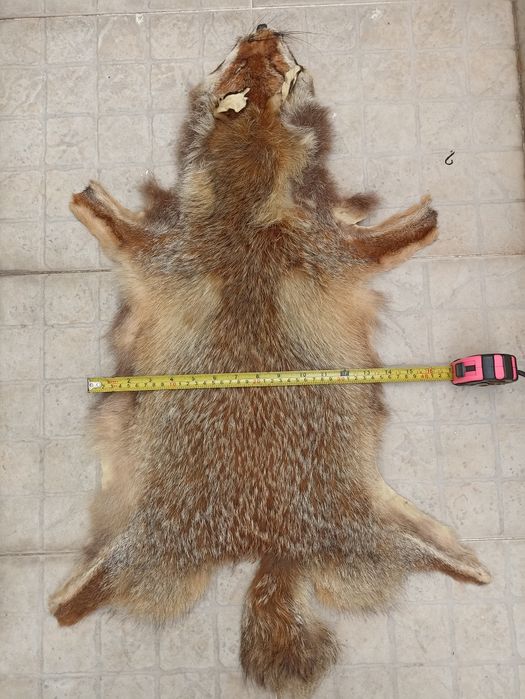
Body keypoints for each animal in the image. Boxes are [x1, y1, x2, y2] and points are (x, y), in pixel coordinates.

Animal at [50, 25, 490, 696]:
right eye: (234, 60)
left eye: (284, 66)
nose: (262, 27)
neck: (249, 205)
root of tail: (271, 546)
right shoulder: (178, 253)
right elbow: (122, 231)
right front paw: (90, 201)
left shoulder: (322, 250)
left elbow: (383, 239)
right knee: (80, 601)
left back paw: (468, 564)